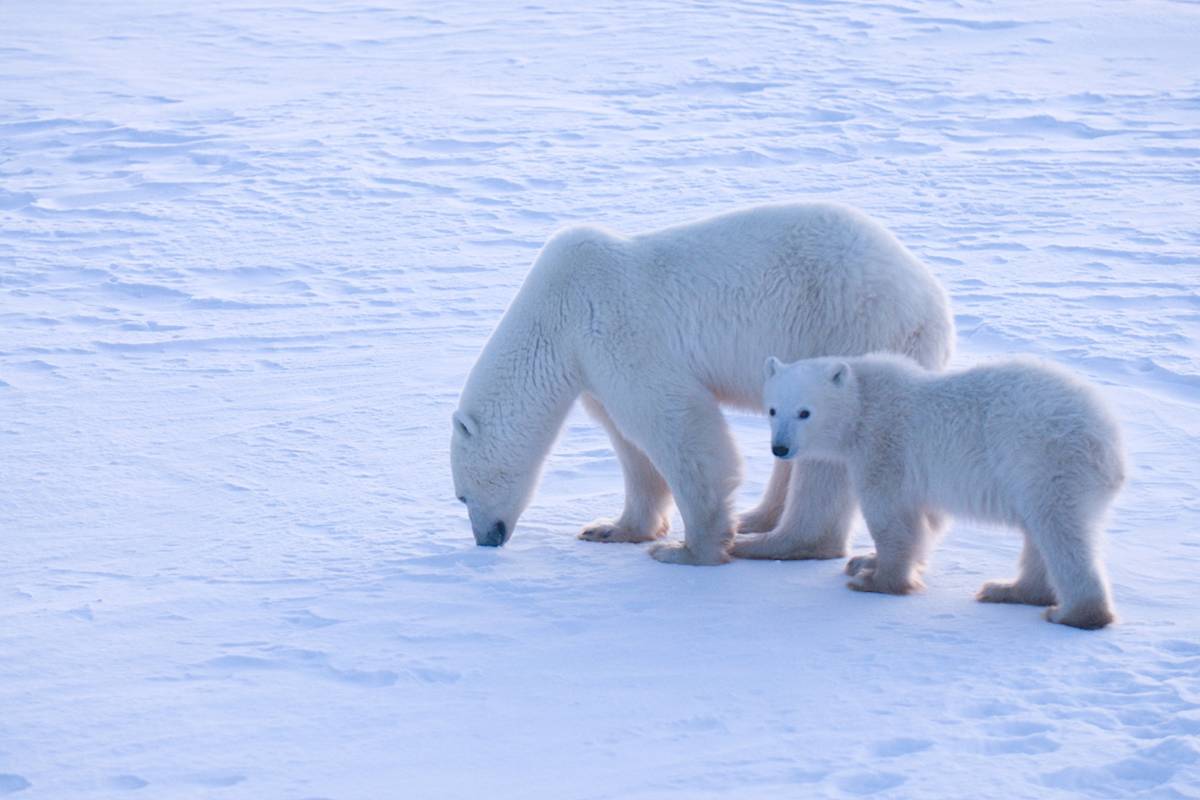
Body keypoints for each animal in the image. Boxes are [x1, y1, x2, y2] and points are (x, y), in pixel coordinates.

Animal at [450, 202, 954, 565]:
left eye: (461, 495)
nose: (486, 540)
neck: (556, 310)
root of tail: (934, 304)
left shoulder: (615, 326)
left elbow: (676, 421)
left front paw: (690, 549)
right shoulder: (592, 365)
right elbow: (628, 440)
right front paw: (612, 529)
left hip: (852, 327)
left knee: (825, 451)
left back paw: (777, 542)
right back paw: (757, 518)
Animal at [761, 352, 1125, 628]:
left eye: (805, 412)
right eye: (773, 409)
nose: (780, 448)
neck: (864, 402)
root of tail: (1109, 439)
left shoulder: (884, 446)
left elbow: (891, 517)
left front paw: (876, 581)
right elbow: (928, 521)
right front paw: (864, 561)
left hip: (1045, 460)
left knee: (1060, 532)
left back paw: (1074, 613)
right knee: (1038, 533)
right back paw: (1008, 590)